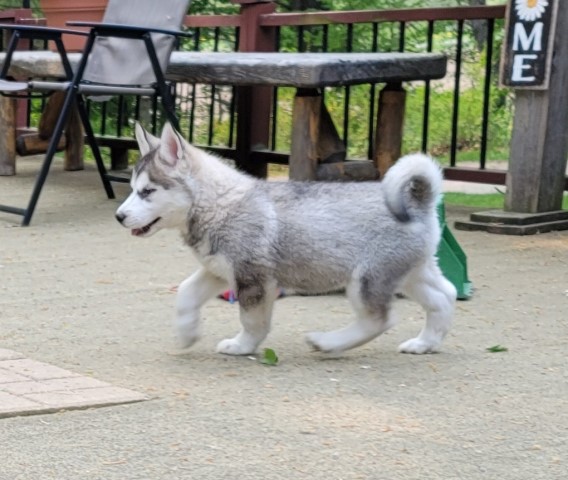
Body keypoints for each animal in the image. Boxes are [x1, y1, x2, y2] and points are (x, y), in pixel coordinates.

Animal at [116, 124, 458, 356]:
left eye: (147, 192)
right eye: (133, 189)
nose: (119, 216)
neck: (218, 203)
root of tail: (419, 203)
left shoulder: (253, 279)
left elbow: (253, 322)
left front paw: (242, 346)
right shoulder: (219, 271)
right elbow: (187, 293)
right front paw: (187, 333)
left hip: (367, 279)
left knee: (378, 319)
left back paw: (328, 342)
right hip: (410, 273)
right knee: (445, 296)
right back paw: (424, 343)